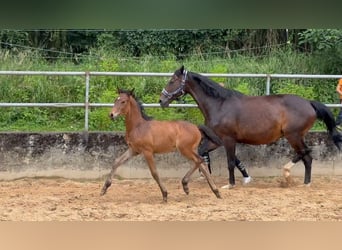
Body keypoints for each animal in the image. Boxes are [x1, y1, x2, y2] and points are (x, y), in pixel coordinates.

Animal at [160, 65, 342, 188]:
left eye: (172, 80)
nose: (161, 100)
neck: (219, 104)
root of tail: (309, 103)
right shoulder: (218, 140)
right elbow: (206, 152)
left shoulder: (228, 139)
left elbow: (230, 161)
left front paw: (230, 184)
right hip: (295, 136)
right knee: (306, 156)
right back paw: (303, 182)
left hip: (293, 135)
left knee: (306, 154)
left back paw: (291, 175)